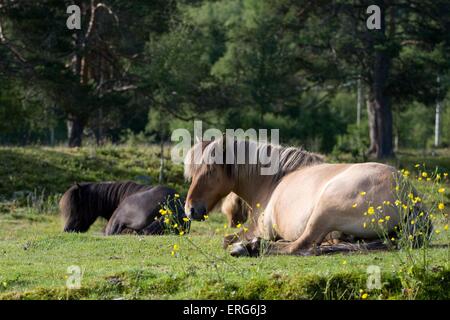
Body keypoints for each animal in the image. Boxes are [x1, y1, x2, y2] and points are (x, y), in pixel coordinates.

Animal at [184, 136, 432, 256]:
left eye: (210, 171)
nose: (190, 209)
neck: (273, 181)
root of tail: (409, 195)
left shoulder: (258, 228)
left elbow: (226, 239)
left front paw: (244, 243)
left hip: (324, 211)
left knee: (300, 245)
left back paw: (249, 248)